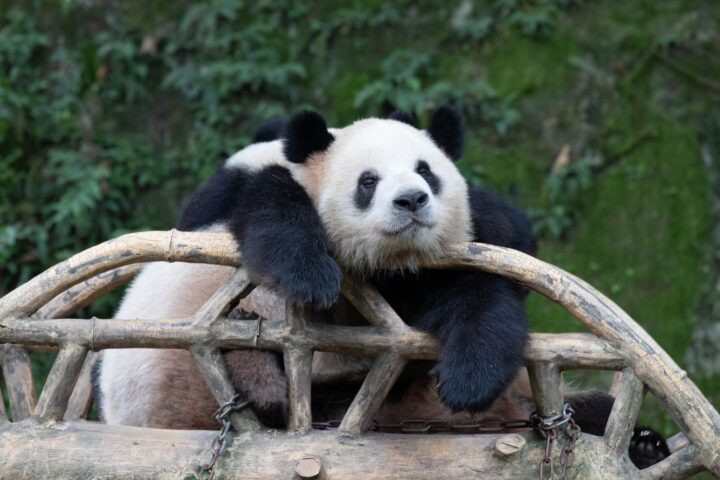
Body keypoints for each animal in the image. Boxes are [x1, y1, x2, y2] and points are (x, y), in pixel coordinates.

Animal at [97, 105, 669, 468]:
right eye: (368, 181)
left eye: (426, 171)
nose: (412, 200)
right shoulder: (236, 206)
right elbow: (271, 214)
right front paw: (312, 274)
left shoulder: (431, 275)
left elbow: (481, 289)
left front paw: (470, 375)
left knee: (582, 412)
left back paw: (644, 445)